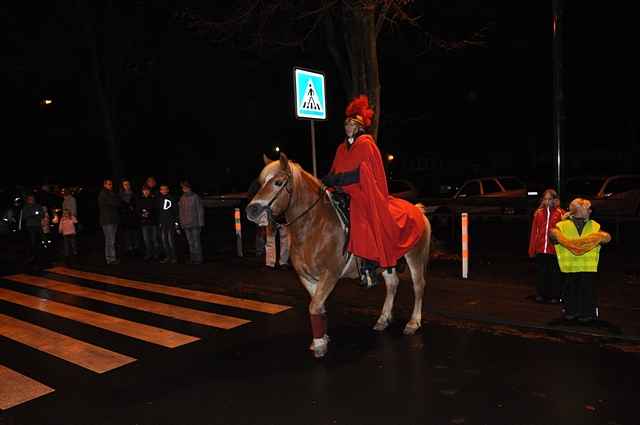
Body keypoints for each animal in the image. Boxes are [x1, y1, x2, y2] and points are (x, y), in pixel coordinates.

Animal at [245, 153, 430, 358]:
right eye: (261, 182)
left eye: (278, 182)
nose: (251, 211)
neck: (314, 226)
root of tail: (417, 209)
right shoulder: (307, 278)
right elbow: (318, 306)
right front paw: (321, 339)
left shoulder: (330, 275)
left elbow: (314, 306)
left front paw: (319, 345)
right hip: (387, 261)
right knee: (392, 284)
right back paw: (383, 319)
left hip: (414, 256)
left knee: (418, 286)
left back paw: (413, 323)